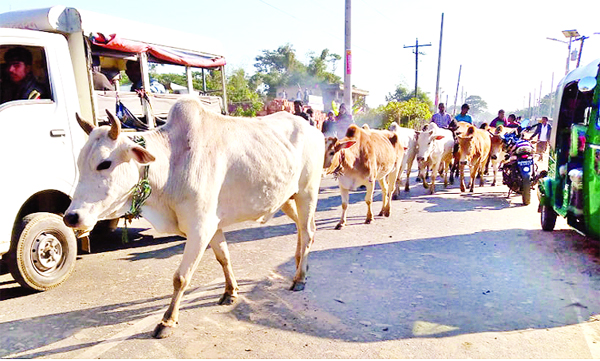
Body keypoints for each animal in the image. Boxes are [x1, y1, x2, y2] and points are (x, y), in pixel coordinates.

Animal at [63, 95, 326, 338]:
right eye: (79, 162)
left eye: (104, 163)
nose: (71, 217)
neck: (171, 164)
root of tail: (314, 130)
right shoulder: (213, 226)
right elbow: (224, 258)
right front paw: (230, 292)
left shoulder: (200, 228)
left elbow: (181, 277)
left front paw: (167, 321)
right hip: (287, 198)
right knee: (302, 230)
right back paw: (299, 264)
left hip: (307, 192)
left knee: (308, 232)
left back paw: (300, 278)